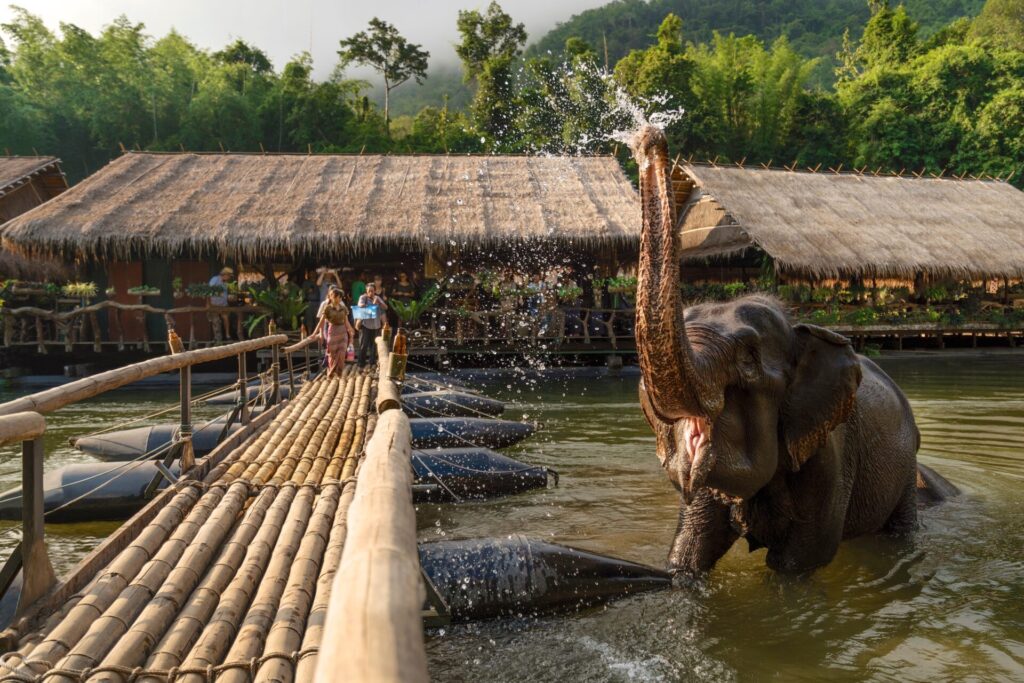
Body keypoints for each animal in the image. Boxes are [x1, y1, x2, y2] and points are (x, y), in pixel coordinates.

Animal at [626, 122, 954, 577]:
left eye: (748, 359)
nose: (649, 138)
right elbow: (690, 550)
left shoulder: (830, 455)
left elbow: (799, 563)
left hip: (904, 470)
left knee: (899, 531)